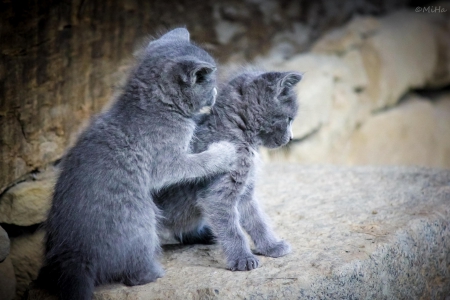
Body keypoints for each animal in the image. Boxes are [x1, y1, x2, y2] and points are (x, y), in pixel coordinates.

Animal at [37, 28, 237, 300]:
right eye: (209, 81)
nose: (216, 93)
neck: (152, 106)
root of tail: (74, 255)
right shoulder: (167, 161)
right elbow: (197, 163)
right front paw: (224, 152)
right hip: (141, 219)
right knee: (135, 274)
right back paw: (155, 272)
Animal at [156, 70, 302, 272]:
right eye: (289, 119)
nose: (291, 138)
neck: (241, 137)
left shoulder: (245, 193)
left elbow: (258, 221)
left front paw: (271, 246)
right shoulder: (218, 195)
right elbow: (233, 231)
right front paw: (242, 258)